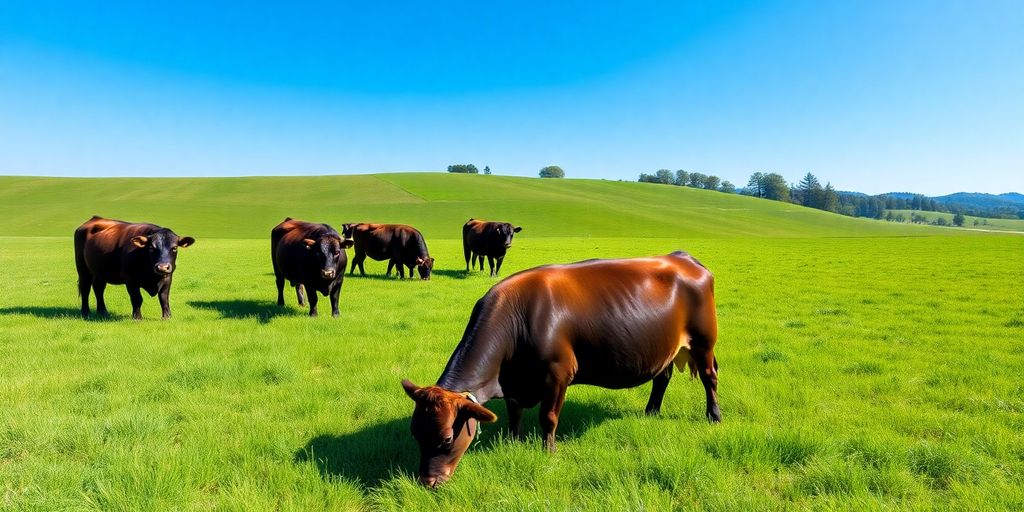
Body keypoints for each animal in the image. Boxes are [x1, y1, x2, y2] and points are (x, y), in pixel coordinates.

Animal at [402, 251, 719, 487]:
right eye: (415, 433)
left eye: (446, 438)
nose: (427, 482)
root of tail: (682, 257)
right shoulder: (514, 383)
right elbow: (514, 416)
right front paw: (513, 442)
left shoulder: (557, 374)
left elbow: (549, 417)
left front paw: (549, 452)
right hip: (665, 348)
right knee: (662, 377)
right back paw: (651, 411)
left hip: (703, 342)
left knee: (710, 378)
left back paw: (714, 416)